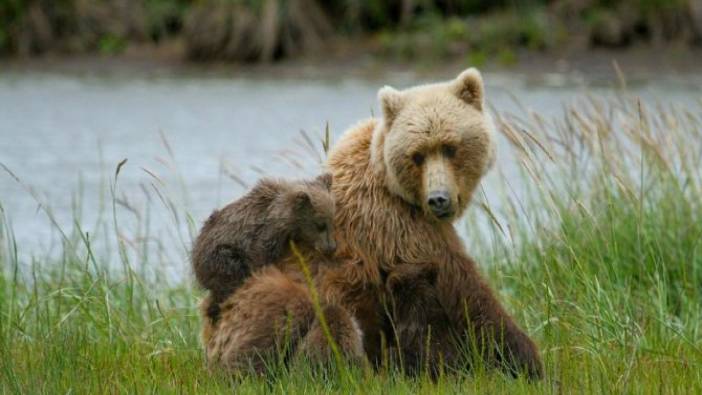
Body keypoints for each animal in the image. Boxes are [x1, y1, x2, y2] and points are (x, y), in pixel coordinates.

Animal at [191, 175, 336, 324]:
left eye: (332, 221)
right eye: (320, 225)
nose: (331, 248)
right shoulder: (263, 236)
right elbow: (260, 259)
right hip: (221, 256)